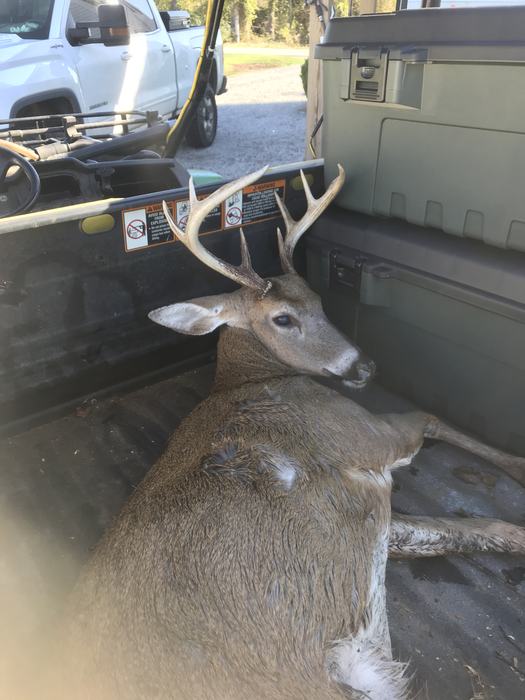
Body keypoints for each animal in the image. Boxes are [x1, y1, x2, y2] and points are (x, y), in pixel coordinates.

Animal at [48, 166, 525, 700]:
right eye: (282, 318)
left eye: (318, 299)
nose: (365, 366)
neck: (247, 378)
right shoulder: (362, 436)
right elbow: (431, 419)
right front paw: (519, 464)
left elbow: (478, 530)